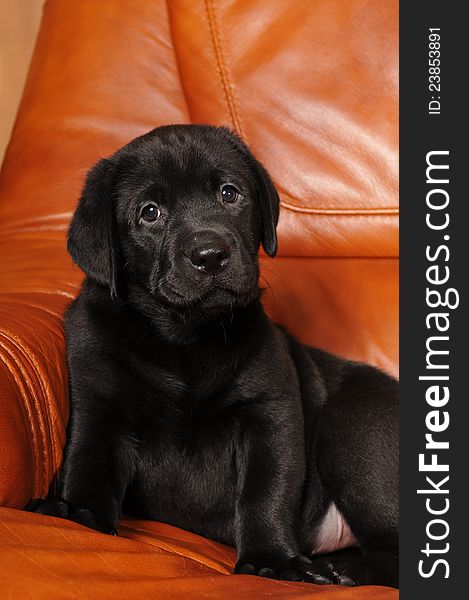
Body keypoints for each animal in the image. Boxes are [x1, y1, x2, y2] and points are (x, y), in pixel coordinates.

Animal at [27, 124, 396, 588]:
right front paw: (78, 513)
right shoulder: (98, 402)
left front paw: (270, 559)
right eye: (149, 212)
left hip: (352, 427)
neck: (186, 337)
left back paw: (340, 569)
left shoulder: (269, 413)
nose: (210, 255)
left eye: (229, 193)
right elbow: (89, 463)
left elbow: (266, 491)